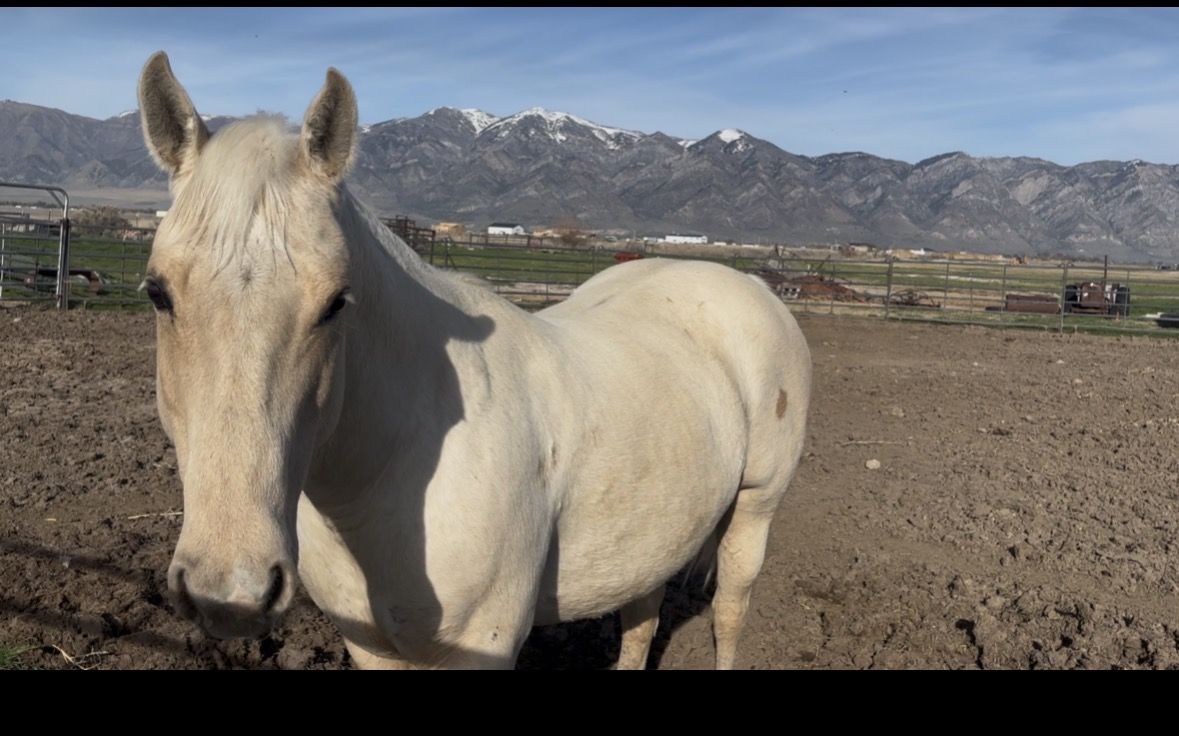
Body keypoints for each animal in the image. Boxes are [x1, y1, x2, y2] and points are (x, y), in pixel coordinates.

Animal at [136, 51, 812, 669]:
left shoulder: (481, 646)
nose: (231, 593)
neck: (391, 471)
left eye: (335, 303)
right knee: (642, 620)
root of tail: (749, 283)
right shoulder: (371, 645)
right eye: (158, 293)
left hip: (755, 510)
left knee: (729, 613)